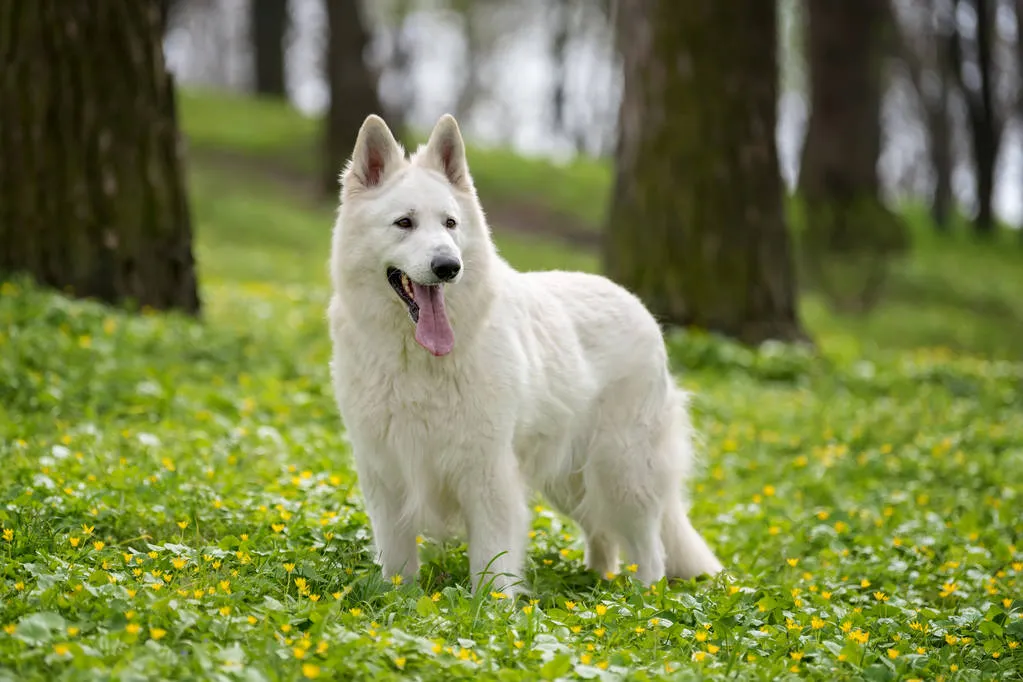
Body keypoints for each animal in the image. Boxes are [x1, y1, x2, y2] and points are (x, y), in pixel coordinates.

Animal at [327, 113, 720, 597]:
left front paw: (491, 612)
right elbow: (398, 559)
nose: (448, 267)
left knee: (649, 547)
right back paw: (598, 583)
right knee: (603, 533)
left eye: (450, 223)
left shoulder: (488, 476)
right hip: (571, 480)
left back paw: (641, 598)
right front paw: (397, 599)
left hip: (622, 472)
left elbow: (491, 565)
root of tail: (636, 303)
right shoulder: (387, 473)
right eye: (404, 223)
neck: (417, 360)